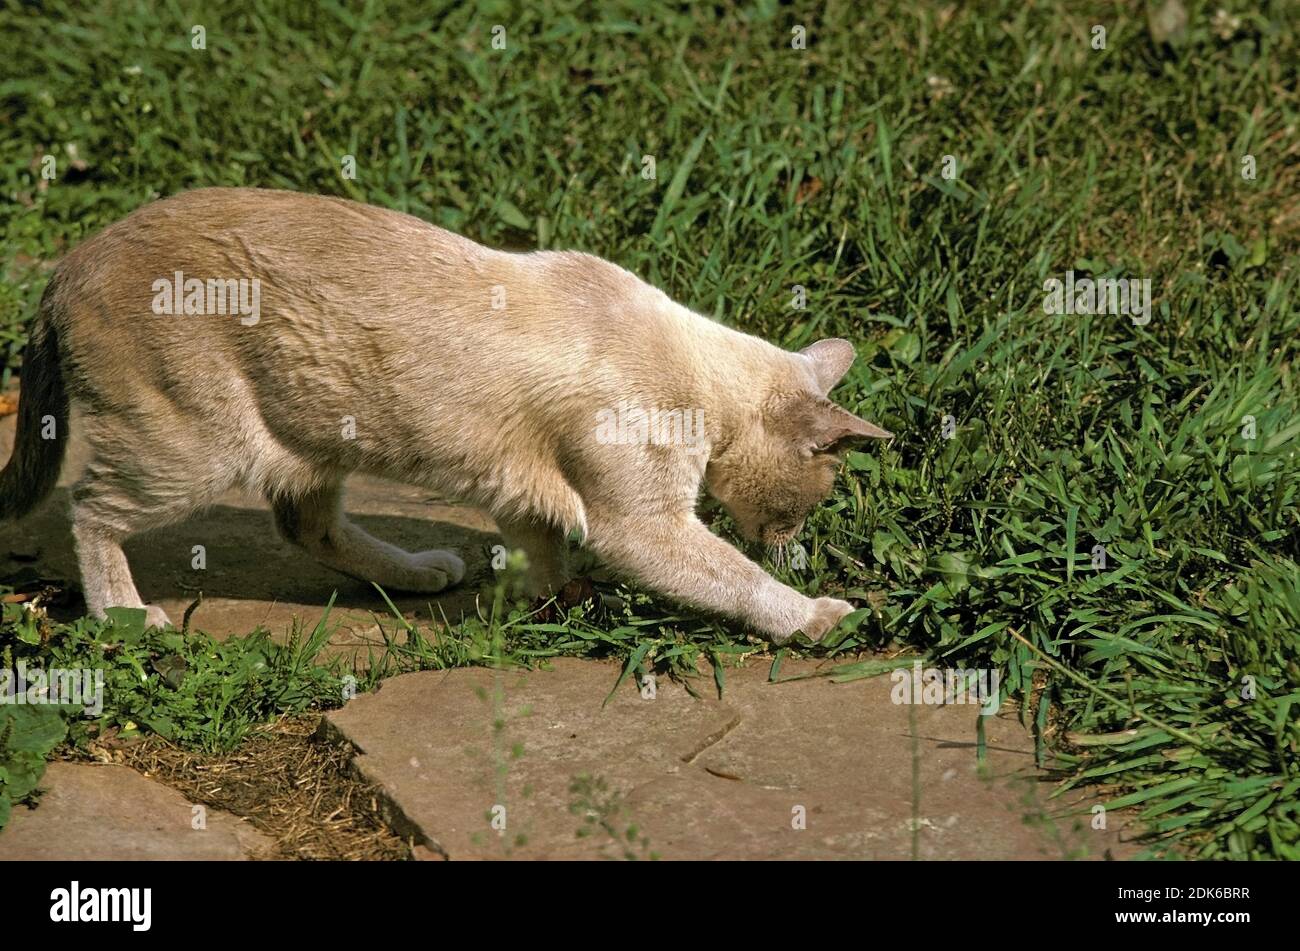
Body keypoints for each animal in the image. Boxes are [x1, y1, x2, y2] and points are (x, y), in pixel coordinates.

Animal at [0, 187, 894, 641]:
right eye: (808, 501)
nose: (788, 540)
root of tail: (69, 262)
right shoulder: (642, 525)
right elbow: (737, 582)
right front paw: (816, 615)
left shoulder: (531, 497)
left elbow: (544, 556)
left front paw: (551, 610)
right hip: (195, 453)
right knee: (90, 510)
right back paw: (127, 615)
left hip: (311, 438)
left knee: (305, 524)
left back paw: (421, 572)